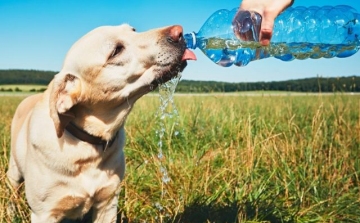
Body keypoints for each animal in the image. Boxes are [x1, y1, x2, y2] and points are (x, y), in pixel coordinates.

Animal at [5, 23, 195, 222]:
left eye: (133, 30)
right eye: (116, 51)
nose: (179, 32)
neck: (88, 146)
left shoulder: (108, 202)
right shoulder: (44, 213)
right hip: (13, 172)